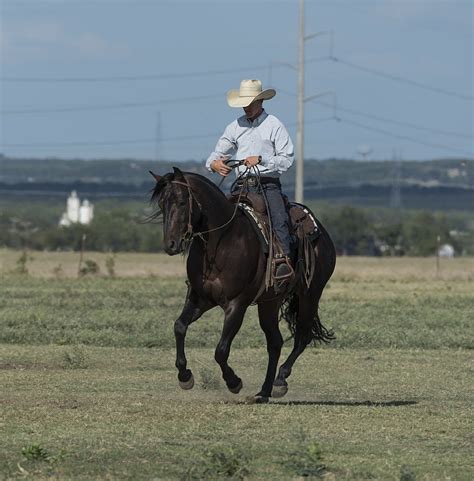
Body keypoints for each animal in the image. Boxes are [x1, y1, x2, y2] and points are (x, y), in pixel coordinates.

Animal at [150, 167, 336, 400]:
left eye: (183, 201)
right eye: (161, 204)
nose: (171, 245)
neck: (221, 242)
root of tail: (321, 231)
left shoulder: (236, 304)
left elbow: (221, 351)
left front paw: (234, 382)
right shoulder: (200, 298)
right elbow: (179, 327)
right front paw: (185, 376)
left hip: (310, 295)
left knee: (303, 337)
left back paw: (280, 381)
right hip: (270, 302)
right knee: (275, 342)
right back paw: (263, 391)